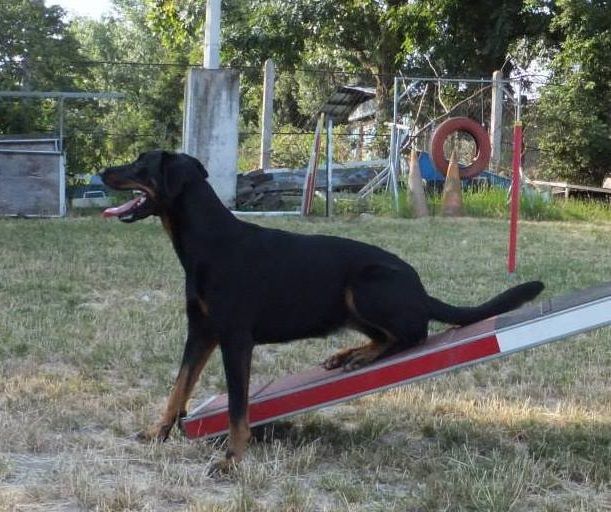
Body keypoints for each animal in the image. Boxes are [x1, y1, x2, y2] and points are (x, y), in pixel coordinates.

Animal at [101, 152, 544, 472]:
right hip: (353, 305)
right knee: (387, 335)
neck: (208, 241)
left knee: (412, 334)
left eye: (140, 164)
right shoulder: (201, 333)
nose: (104, 171)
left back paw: (361, 355)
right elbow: (179, 388)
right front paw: (158, 433)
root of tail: (420, 288)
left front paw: (233, 459)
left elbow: (237, 407)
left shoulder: (235, 340)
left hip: (365, 285)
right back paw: (348, 354)